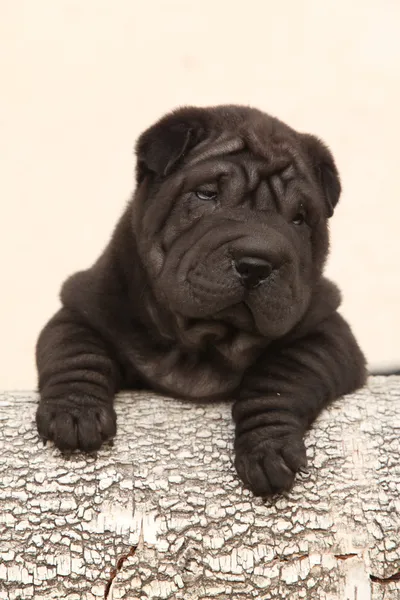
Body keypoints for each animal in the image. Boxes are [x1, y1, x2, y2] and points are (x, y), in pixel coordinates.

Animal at [36, 104, 368, 496]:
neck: (202, 339)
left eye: (300, 219)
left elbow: (281, 379)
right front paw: (75, 414)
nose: (257, 263)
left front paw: (267, 446)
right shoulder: (85, 306)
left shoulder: (325, 329)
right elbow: (77, 353)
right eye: (207, 195)